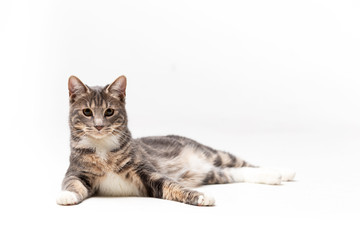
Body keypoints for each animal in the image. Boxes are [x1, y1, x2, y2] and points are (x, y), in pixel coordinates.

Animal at [56, 76, 296, 206]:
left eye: (109, 111)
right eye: (87, 111)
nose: (98, 126)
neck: (103, 149)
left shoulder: (146, 171)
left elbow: (171, 184)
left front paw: (201, 196)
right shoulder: (77, 171)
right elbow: (72, 183)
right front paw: (66, 195)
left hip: (210, 152)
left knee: (242, 163)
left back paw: (282, 172)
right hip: (211, 173)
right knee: (234, 173)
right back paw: (274, 176)